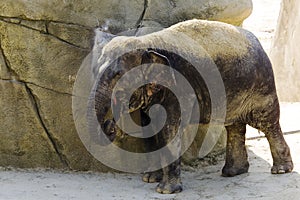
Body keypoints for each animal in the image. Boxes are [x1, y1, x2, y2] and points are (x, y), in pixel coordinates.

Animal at [87, 19, 292, 194]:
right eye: (93, 71)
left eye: (118, 75)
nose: (110, 125)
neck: (146, 42)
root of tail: (258, 42)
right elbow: (149, 130)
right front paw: (150, 179)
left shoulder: (179, 89)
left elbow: (170, 130)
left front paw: (165, 190)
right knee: (234, 126)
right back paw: (233, 172)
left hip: (262, 85)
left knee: (267, 123)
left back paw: (281, 170)